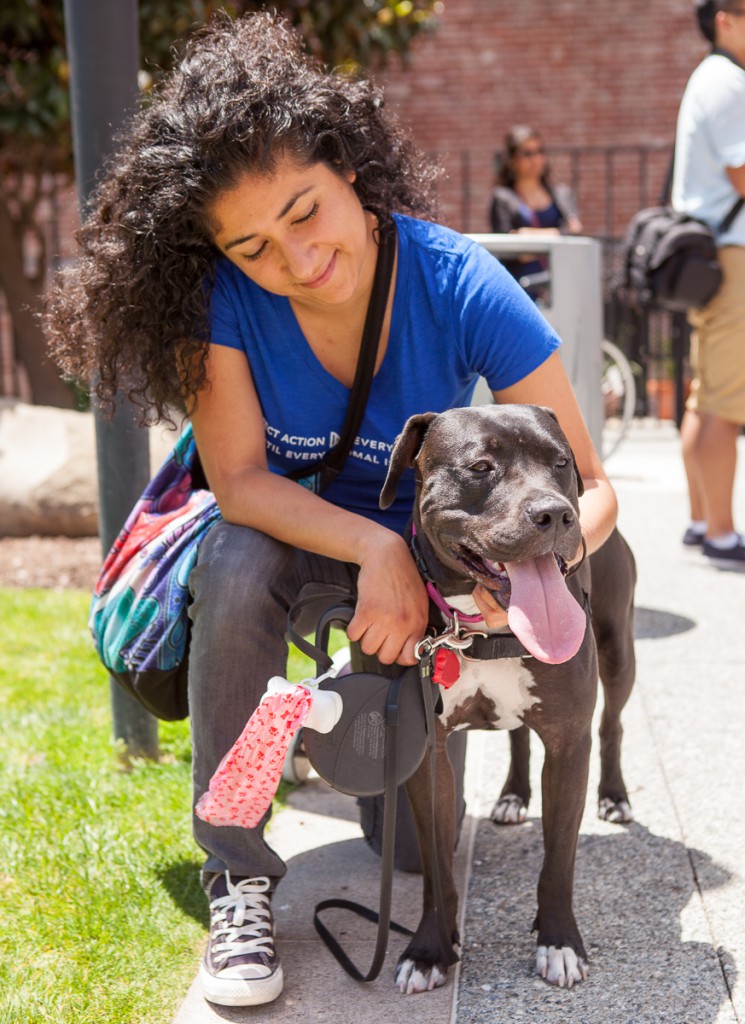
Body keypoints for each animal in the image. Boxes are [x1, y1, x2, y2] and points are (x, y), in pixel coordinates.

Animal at [380, 405, 638, 991]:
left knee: (612, 725)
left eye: (561, 462)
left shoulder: (568, 745)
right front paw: (430, 947)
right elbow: (435, 865)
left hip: (619, 650)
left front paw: (559, 942)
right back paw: (514, 795)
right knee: (518, 734)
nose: (556, 514)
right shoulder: (427, 757)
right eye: (480, 466)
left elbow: (559, 859)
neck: (480, 630)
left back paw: (614, 796)